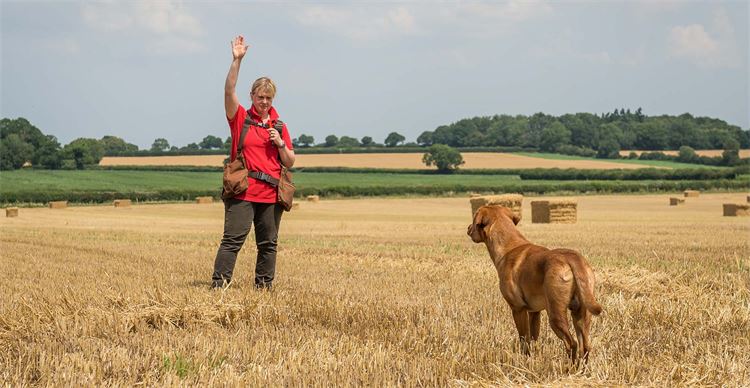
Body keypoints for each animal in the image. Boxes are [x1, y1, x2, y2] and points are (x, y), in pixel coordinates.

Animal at [468, 206, 604, 360]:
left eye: (474, 220)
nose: (468, 228)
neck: (509, 247)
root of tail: (571, 258)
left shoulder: (518, 308)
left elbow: (524, 339)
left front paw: (523, 359)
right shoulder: (534, 312)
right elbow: (533, 338)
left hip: (556, 313)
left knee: (572, 344)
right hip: (581, 313)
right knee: (585, 346)